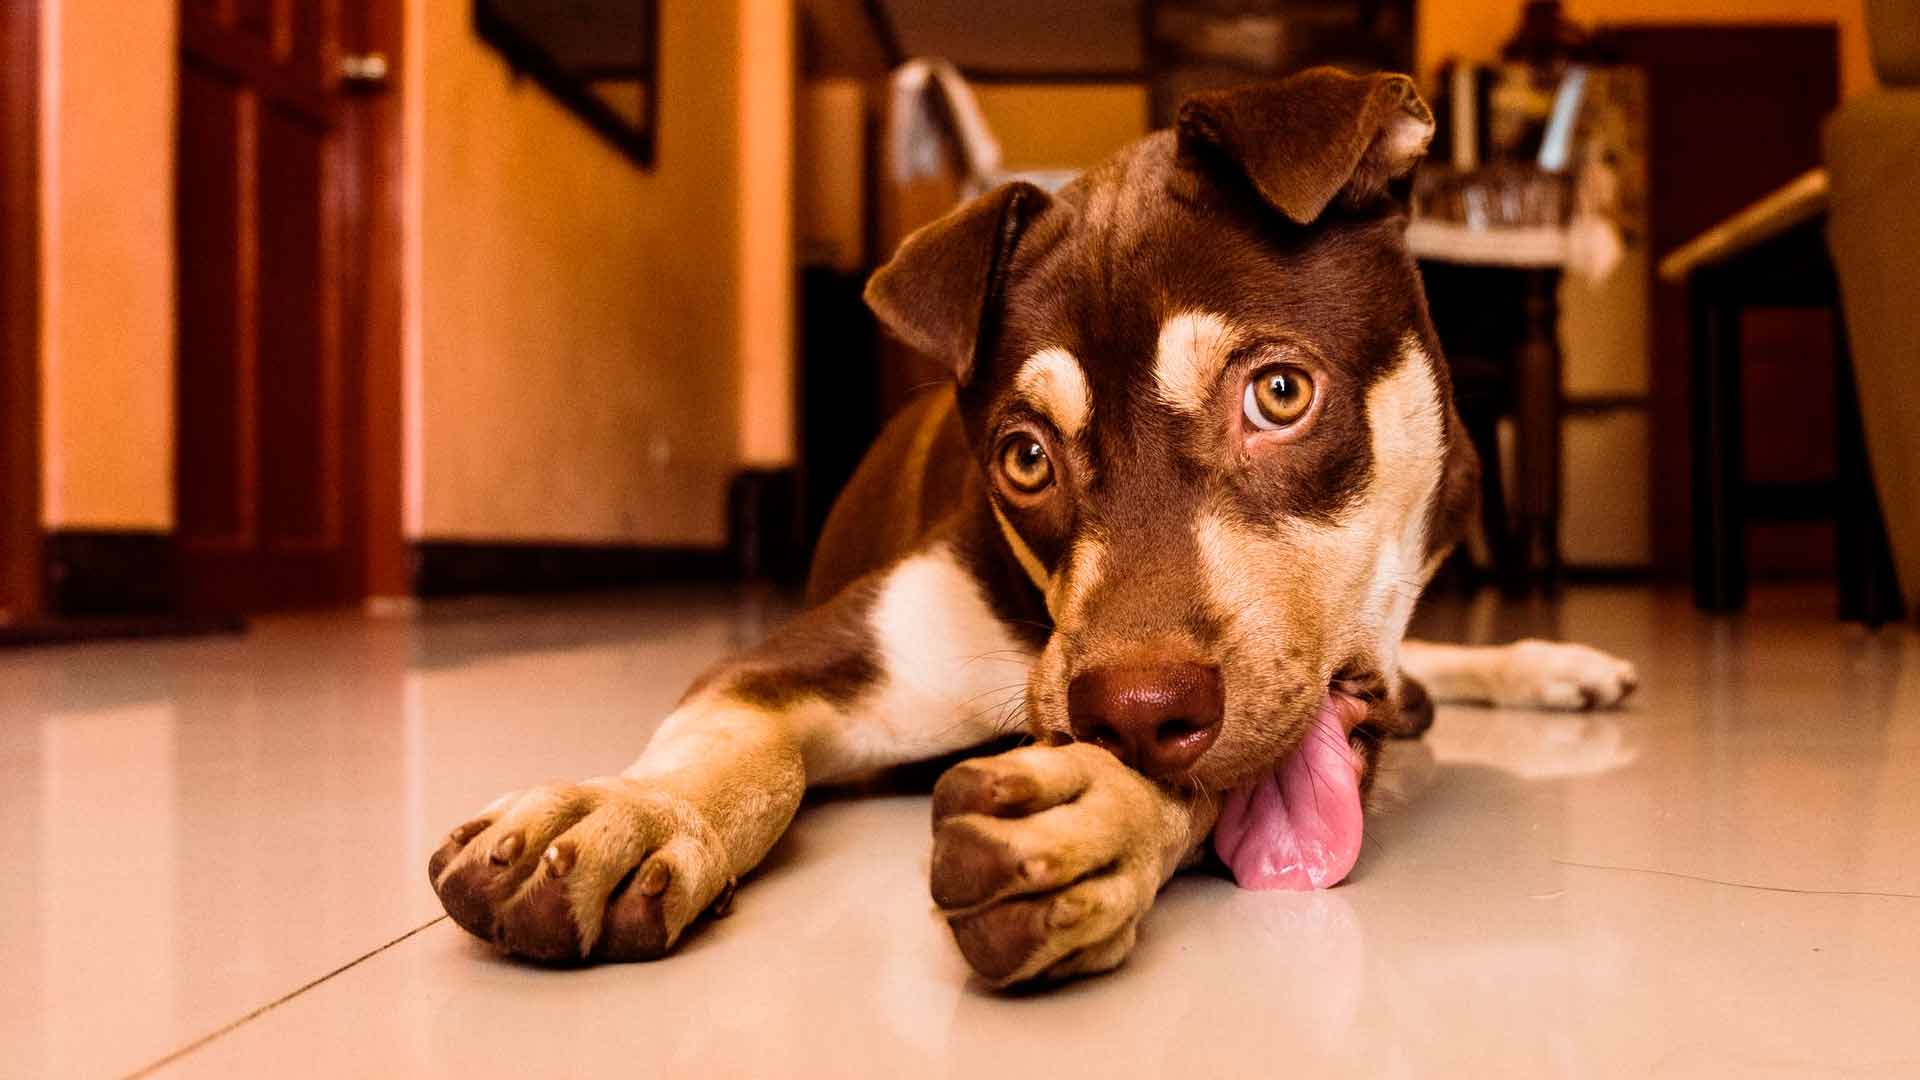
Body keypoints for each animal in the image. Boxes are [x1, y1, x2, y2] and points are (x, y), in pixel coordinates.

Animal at [424, 67, 1635, 991]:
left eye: (1281, 394)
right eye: (1024, 458)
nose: (1133, 710)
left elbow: (1210, 770)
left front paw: (1092, 821)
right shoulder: (797, 660)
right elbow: (734, 746)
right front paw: (630, 811)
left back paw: (1547, 663)